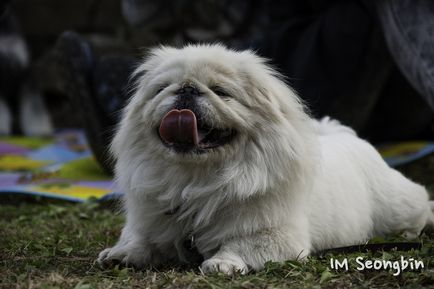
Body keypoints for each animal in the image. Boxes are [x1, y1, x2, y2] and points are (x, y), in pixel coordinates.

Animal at [98, 44, 434, 274]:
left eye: (221, 91)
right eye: (162, 89)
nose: (187, 89)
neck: (195, 179)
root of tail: (344, 135)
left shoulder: (277, 236)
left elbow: (240, 245)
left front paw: (222, 263)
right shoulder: (149, 220)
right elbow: (139, 238)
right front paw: (121, 254)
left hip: (397, 207)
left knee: (421, 205)